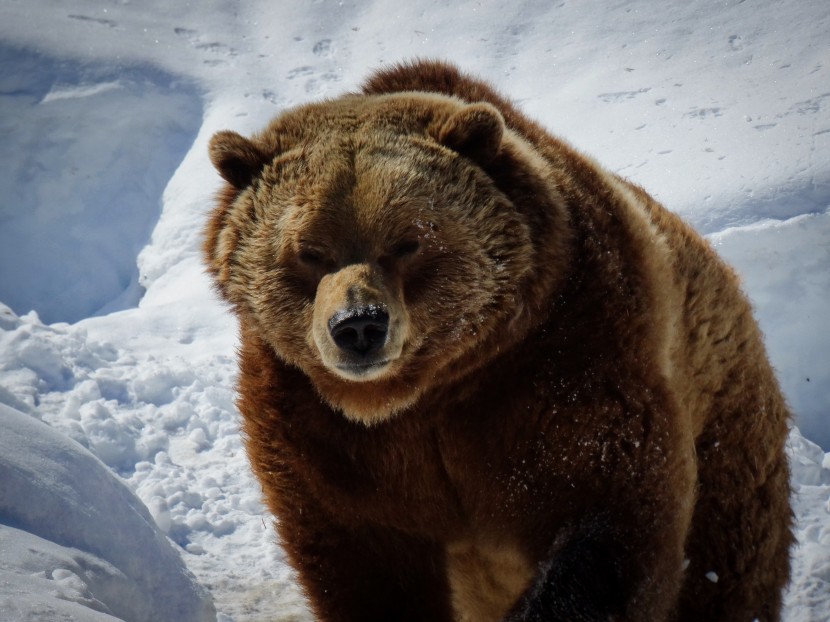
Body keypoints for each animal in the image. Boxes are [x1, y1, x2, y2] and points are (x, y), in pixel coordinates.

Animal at [205, 59, 796, 622]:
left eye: (407, 241)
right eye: (309, 250)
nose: (359, 326)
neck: (423, 392)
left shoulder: (562, 360)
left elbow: (610, 510)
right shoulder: (319, 428)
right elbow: (359, 564)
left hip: (724, 424)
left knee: (726, 565)